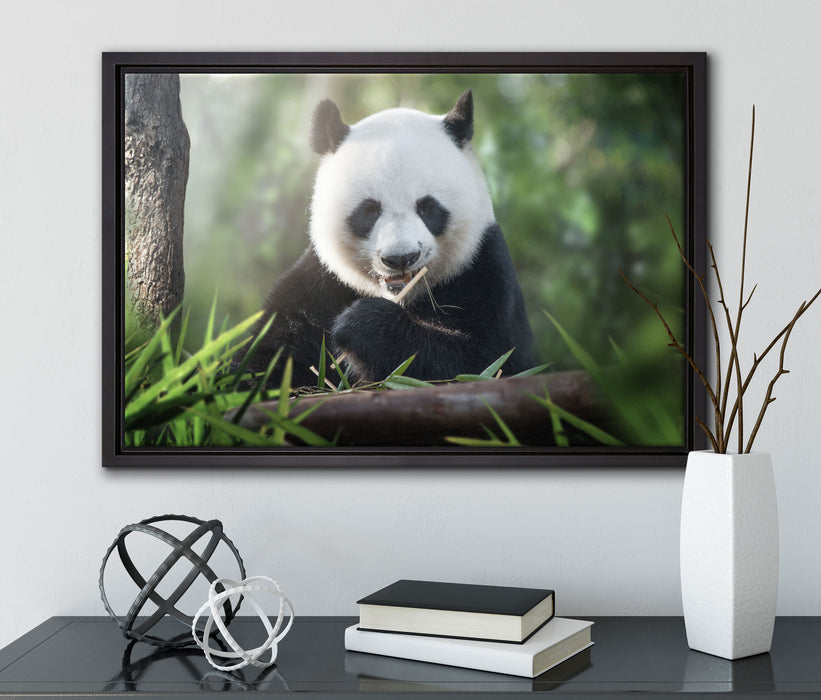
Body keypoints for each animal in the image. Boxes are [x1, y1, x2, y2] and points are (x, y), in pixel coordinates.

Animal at [239, 90, 536, 388]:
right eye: (369, 210)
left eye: (427, 207)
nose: (401, 258)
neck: (399, 296)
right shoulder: (321, 284)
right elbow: (271, 351)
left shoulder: (482, 271)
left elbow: (483, 361)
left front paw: (362, 324)